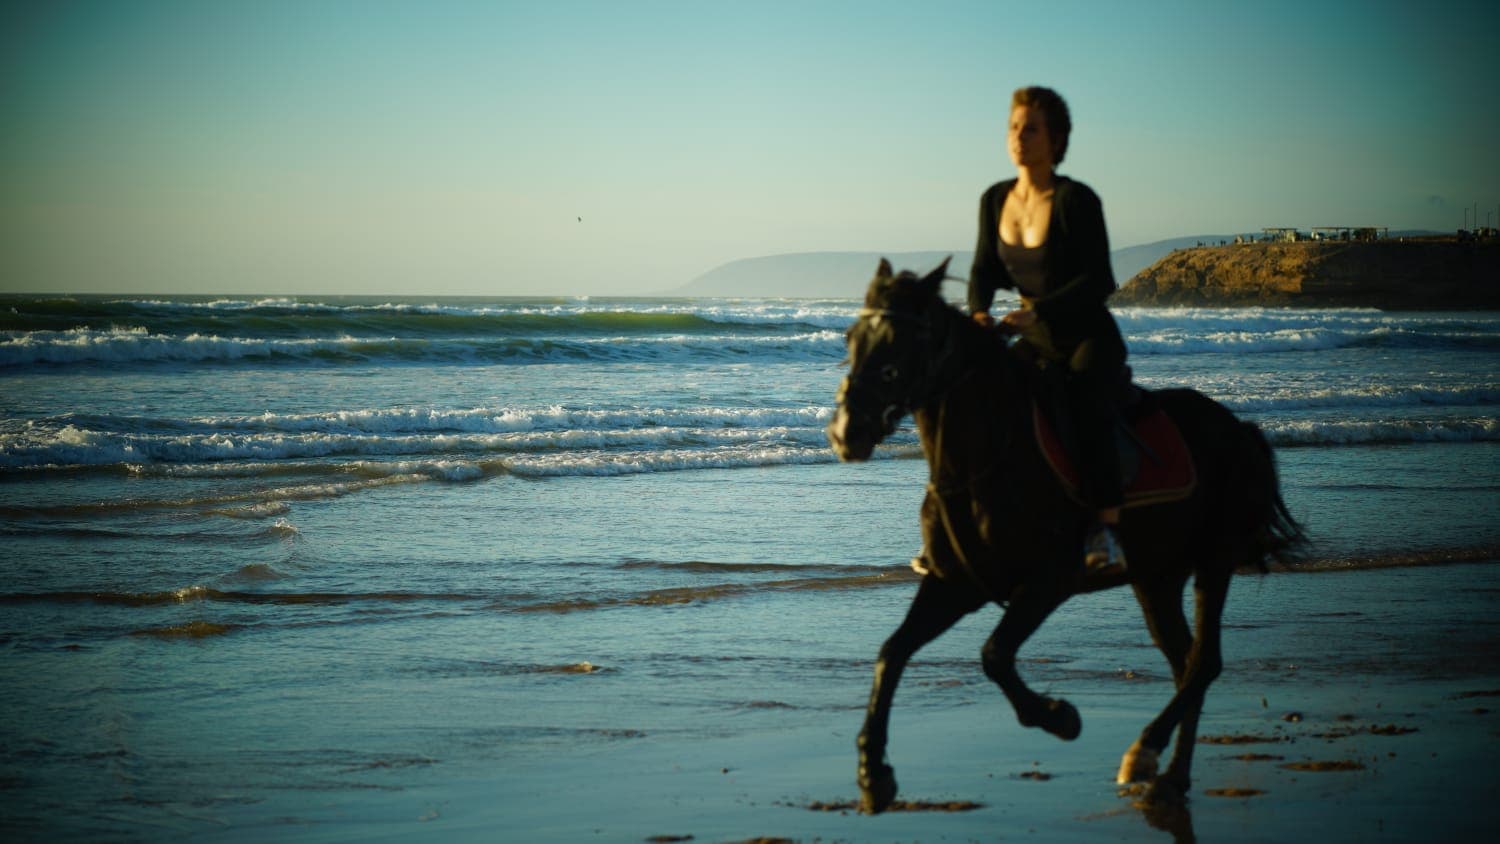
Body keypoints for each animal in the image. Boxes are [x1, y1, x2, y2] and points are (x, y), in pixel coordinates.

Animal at [826, 258, 1305, 813]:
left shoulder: (1046, 583)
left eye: (903, 344)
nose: (846, 433)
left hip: (1213, 560)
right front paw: (873, 773)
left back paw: (1145, 754)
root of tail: (1239, 429)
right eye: (852, 337)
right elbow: (892, 652)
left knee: (1204, 662)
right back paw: (1170, 776)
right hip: (1157, 576)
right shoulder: (955, 583)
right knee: (1186, 662)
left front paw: (1059, 717)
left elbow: (994, 655)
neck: (986, 457)